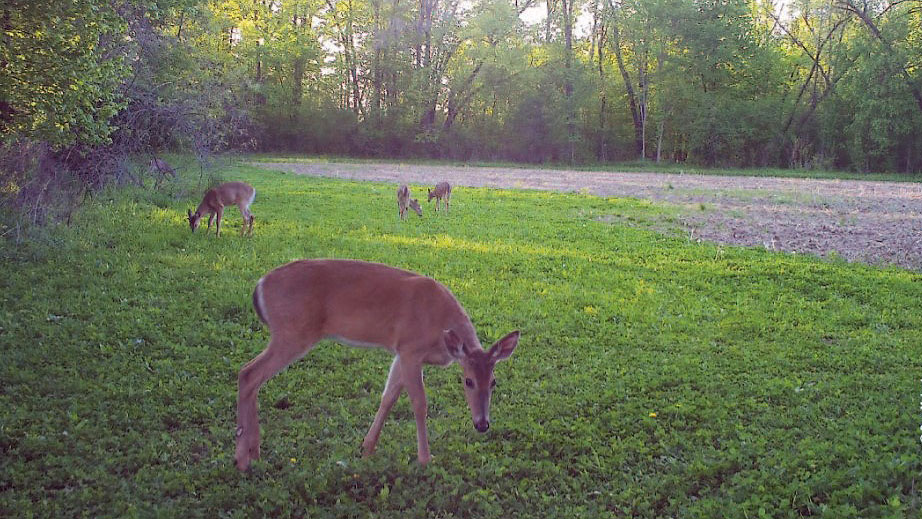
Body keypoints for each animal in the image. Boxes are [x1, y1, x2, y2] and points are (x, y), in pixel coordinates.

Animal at [235, 258, 516, 472]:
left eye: (494, 381)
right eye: (467, 381)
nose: (482, 424)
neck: (440, 327)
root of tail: (259, 286)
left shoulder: (400, 353)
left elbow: (388, 397)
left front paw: (366, 448)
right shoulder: (411, 349)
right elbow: (419, 403)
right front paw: (425, 459)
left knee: (252, 378)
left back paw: (253, 452)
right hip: (293, 332)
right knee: (248, 373)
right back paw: (242, 458)